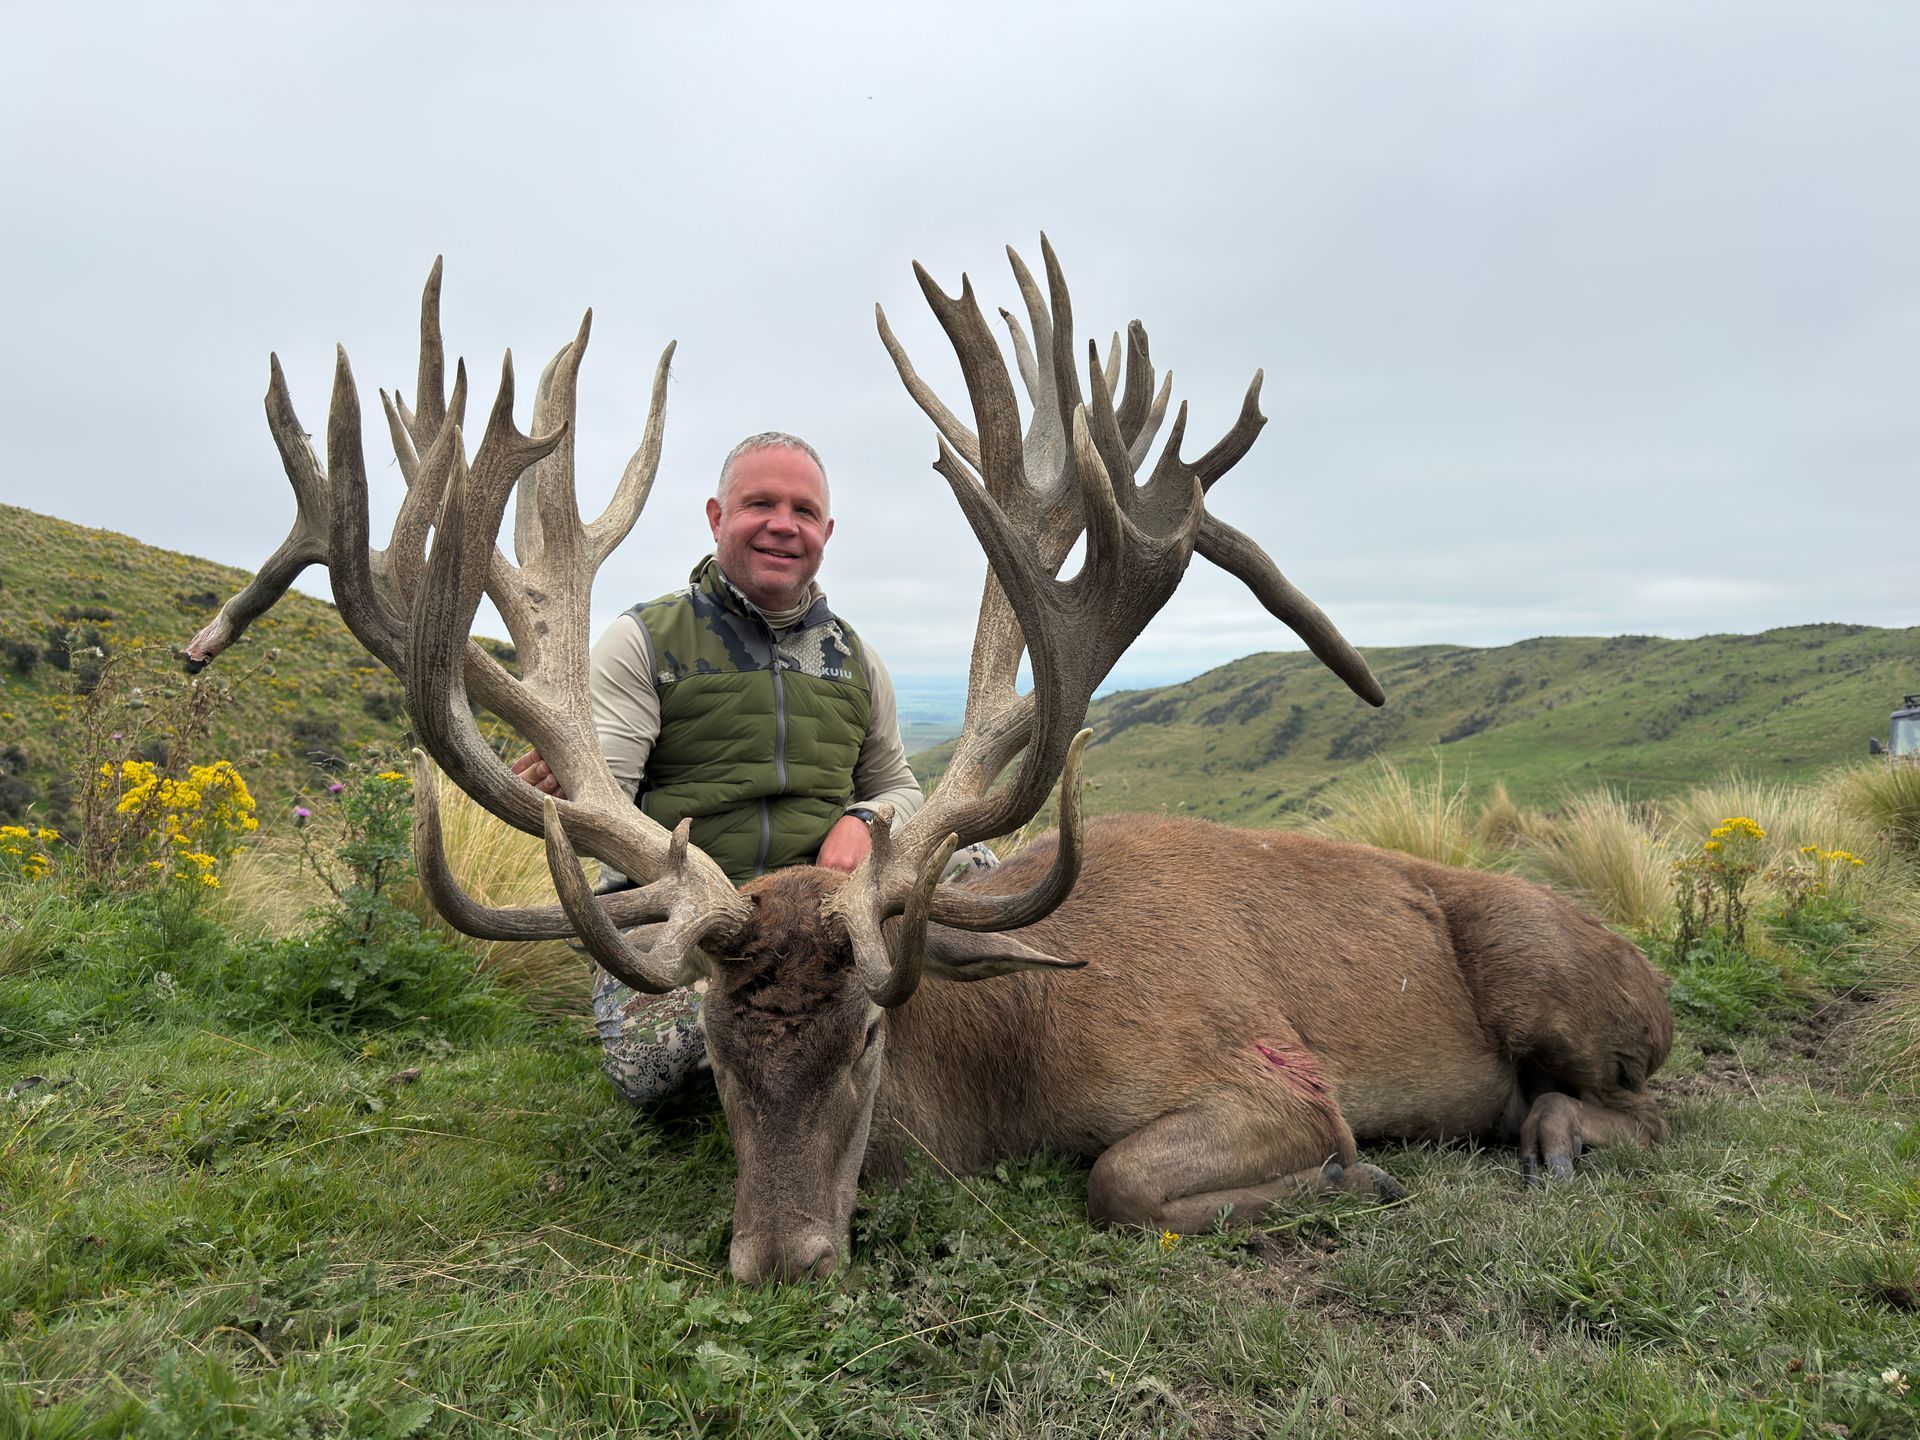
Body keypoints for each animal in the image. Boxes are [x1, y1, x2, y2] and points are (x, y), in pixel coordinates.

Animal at [187, 242, 1673, 1284]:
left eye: (864, 1038)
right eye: (715, 1055)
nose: (778, 1260)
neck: (1004, 1071)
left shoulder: (1264, 1074)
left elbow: (1122, 1184)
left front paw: (1355, 1177)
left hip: (1553, 977)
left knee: (1643, 1099)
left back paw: (1551, 1139)